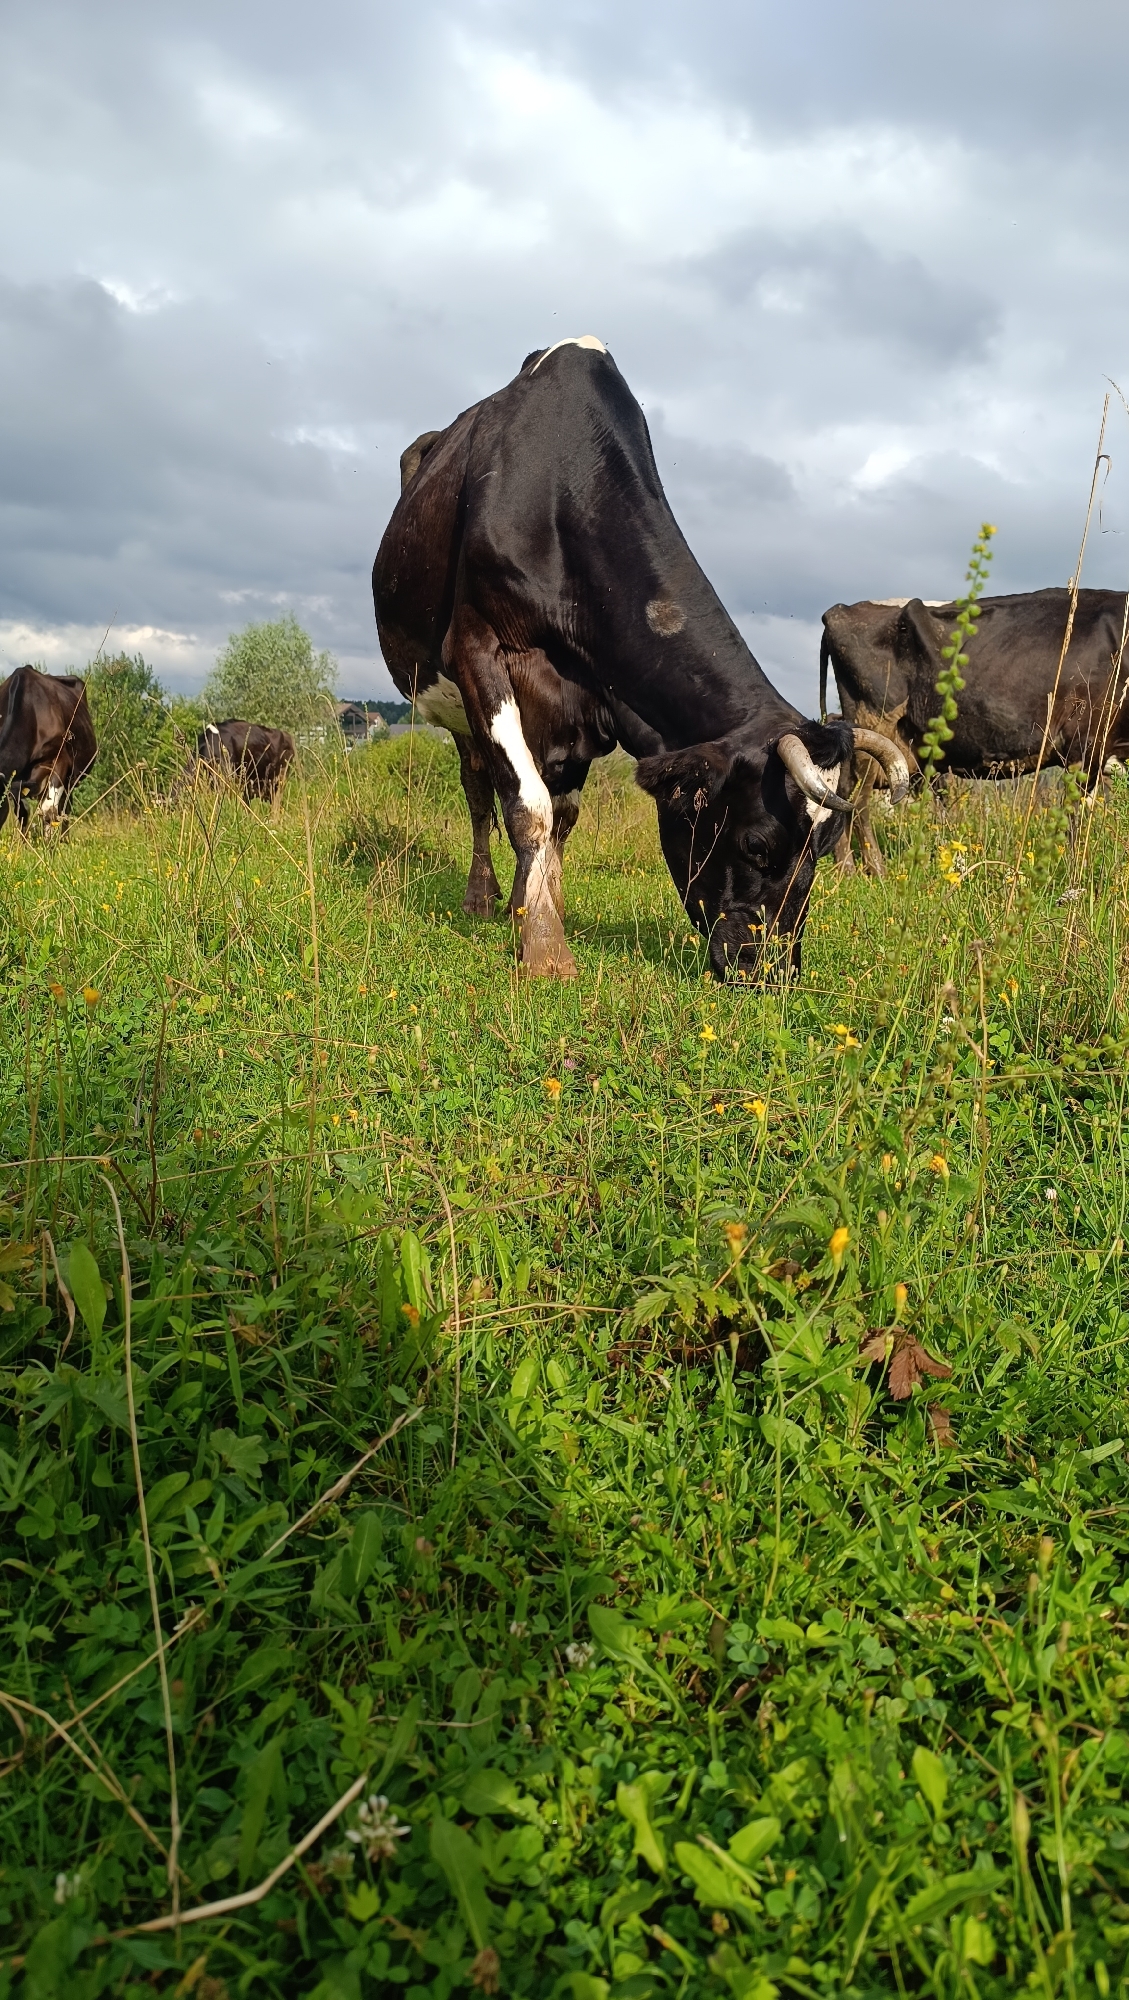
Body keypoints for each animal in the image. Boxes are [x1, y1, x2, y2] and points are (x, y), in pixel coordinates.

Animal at [0, 666, 97, 833]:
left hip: (71, 780)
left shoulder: (60, 760)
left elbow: (49, 812)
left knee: (64, 809)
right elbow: (23, 813)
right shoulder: (14, 780)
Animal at [373, 338, 907, 980]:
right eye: (757, 844)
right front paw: (545, 949)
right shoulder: (478, 648)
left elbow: (561, 818)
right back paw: (481, 896)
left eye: (824, 852)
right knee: (478, 792)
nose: (775, 971)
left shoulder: (589, 706)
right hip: (452, 703)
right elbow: (528, 807)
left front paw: (536, 910)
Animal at [820, 588, 1129, 870]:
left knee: (841, 792)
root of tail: (838, 610)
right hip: (874, 720)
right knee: (858, 799)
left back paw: (845, 870)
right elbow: (1074, 814)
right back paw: (876, 870)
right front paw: (1074, 868)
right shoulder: (1084, 741)